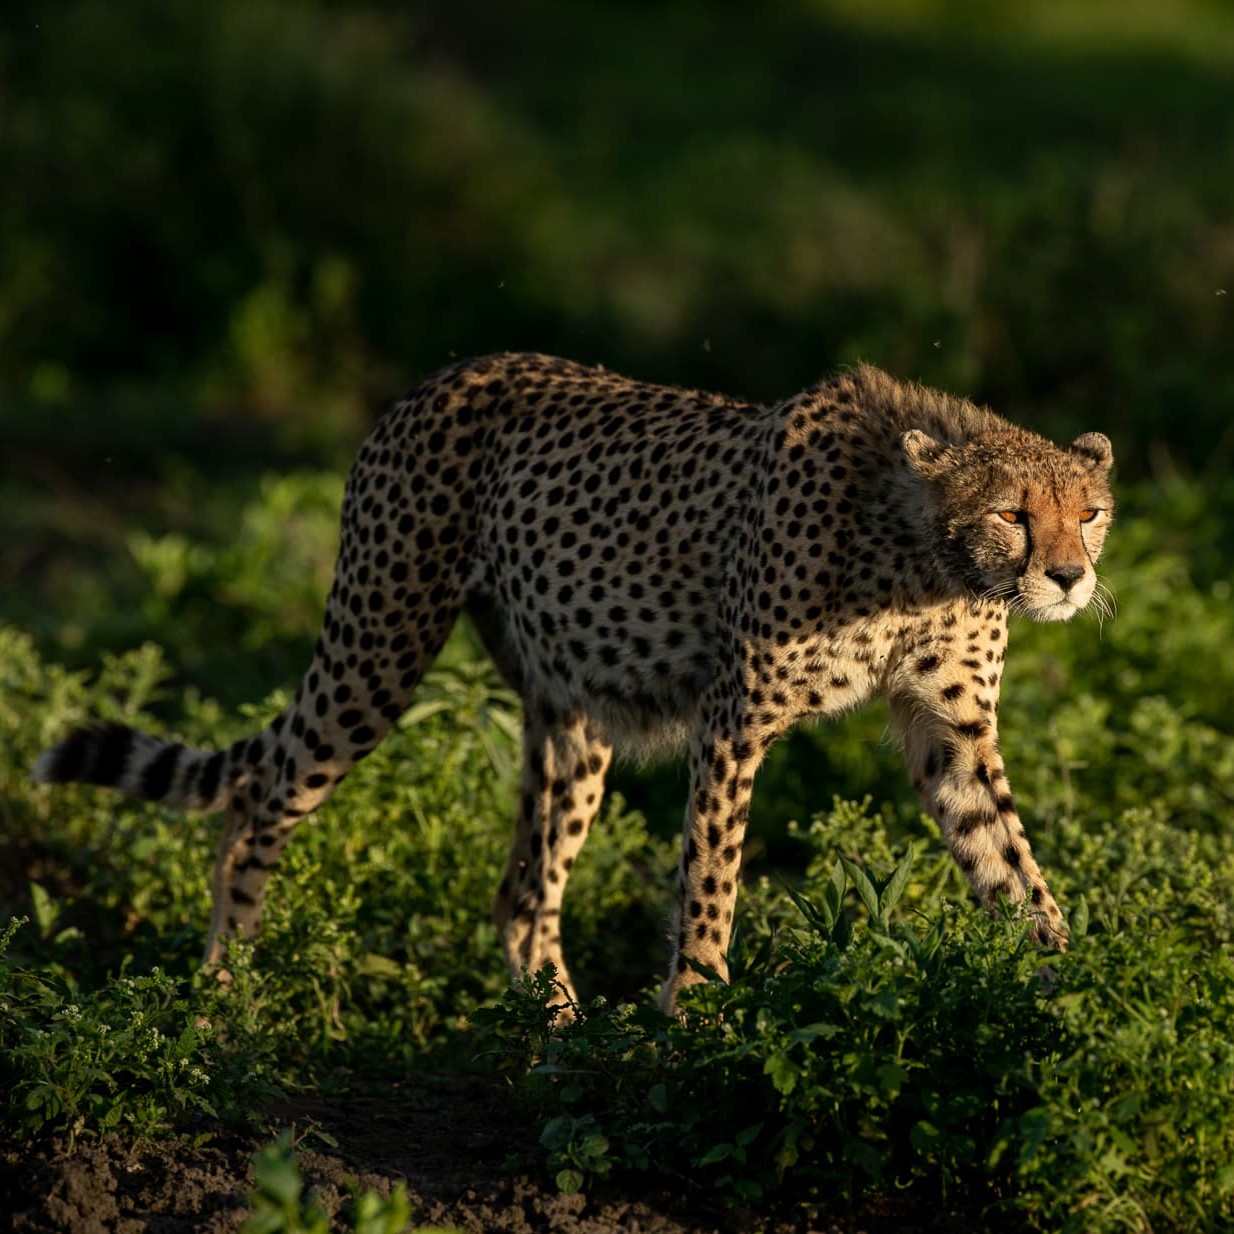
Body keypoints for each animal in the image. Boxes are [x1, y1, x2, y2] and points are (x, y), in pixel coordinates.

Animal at [34, 353, 1114, 1014]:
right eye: (1015, 513)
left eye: (1091, 511)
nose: (1068, 576)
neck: (920, 553)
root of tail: (443, 375)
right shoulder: (733, 723)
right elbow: (711, 880)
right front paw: (700, 1015)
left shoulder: (952, 733)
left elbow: (1010, 864)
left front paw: (1080, 996)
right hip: (379, 644)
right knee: (260, 795)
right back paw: (228, 989)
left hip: (572, 717)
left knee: (521, 888)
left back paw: (555, 1027)